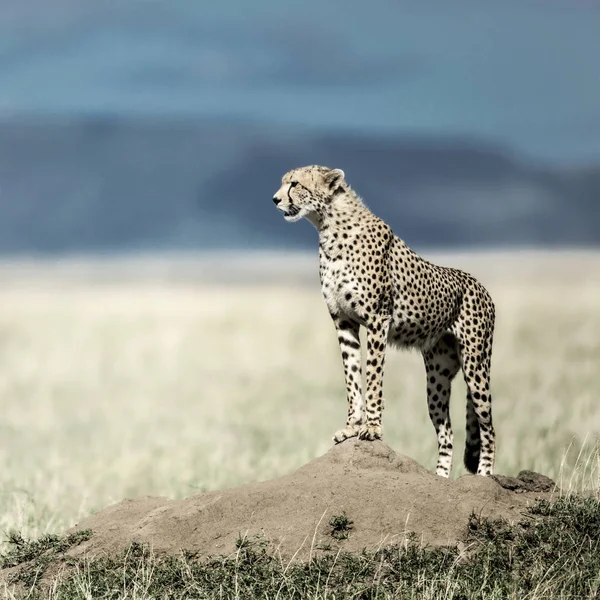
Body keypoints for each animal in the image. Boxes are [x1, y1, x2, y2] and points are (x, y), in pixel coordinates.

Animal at [272, 166, 496, 476]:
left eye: (295, 184)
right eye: (284, 183)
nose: (275, 199)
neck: (328, 226)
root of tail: (480, 285)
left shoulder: (378, 320)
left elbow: (373, 375)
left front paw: (372, 428)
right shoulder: (343, 321)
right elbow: (352, 378)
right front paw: (351, 427)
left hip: (476, 366)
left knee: (488, 427)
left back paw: (484, 476)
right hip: (437, 377)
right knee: (447, 432)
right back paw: (440, 479)